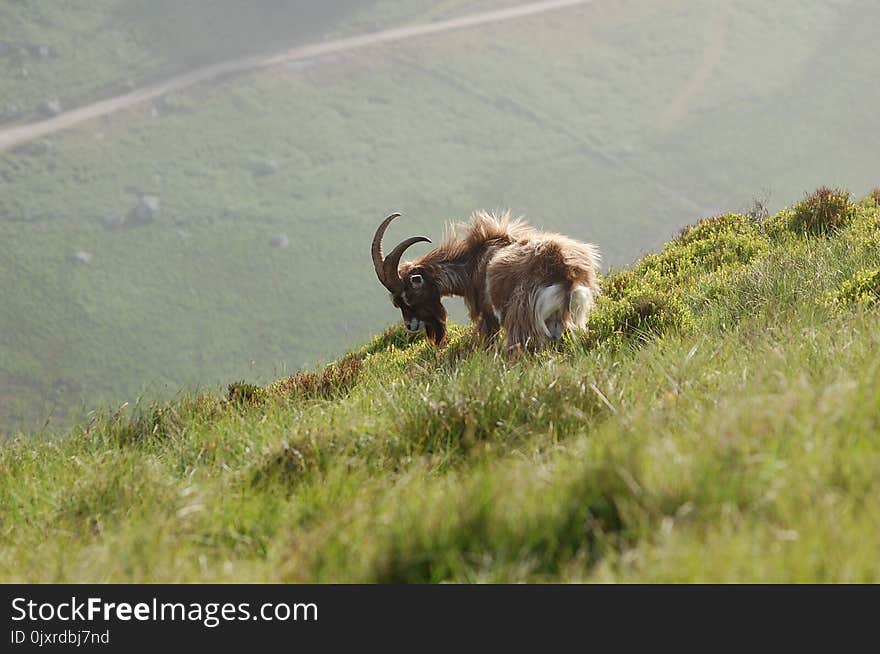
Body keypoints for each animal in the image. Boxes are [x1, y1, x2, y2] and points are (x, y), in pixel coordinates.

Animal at [368, 210, 600, 354]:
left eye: (409, 297)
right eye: (396, 302)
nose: (410, 325)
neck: (472, 264)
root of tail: (566, 274)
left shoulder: (488, 316)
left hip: (521, 315)